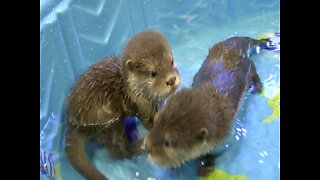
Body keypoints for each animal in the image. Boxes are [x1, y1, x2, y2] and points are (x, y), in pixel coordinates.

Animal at [65, 31, 180, 180]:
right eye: (153, 73)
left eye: (171, 61)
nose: (171, 80)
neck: (132, 90)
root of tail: (74, 121)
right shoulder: (142, 107)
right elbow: (149, 123)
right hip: (107, 118)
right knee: (116, 150)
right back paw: (141, 146)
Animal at [145, 36, 270, 176]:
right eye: (156, 121)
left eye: (167, 143)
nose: (147, 146)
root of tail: (233, 42)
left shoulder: (223, 138)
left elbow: (213, 153)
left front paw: (206, 166)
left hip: (247, 66)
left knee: (253, 69)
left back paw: (257, 87)